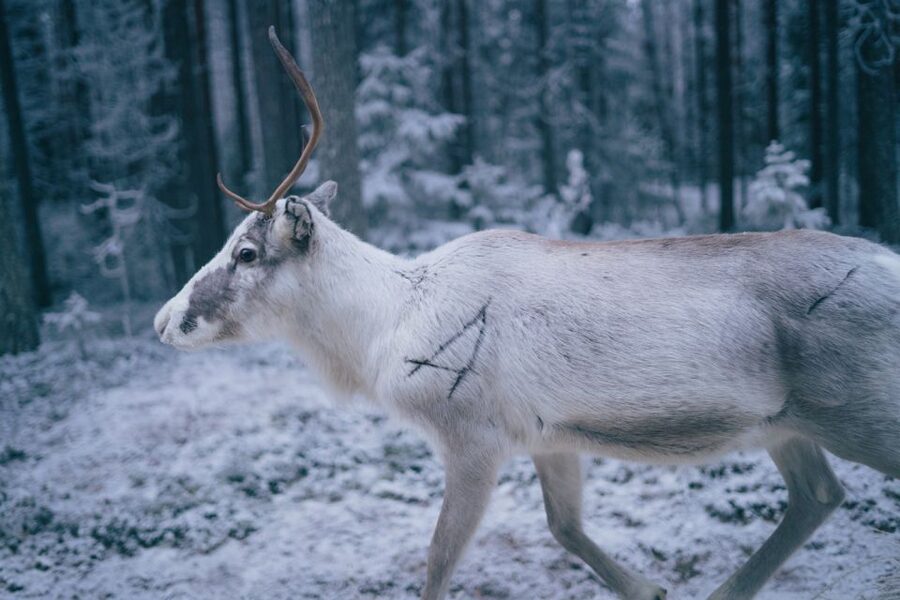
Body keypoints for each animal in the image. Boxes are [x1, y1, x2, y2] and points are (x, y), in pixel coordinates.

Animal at [154, 28, 900, 600]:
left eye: (247, 252)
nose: (164, 320)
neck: (381, 332)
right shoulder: (550, 436)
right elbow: (564, 527)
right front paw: (650, 588)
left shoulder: (472, 436)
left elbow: (438, 561)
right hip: (786, 423)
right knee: (818, 496)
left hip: (857, 411)